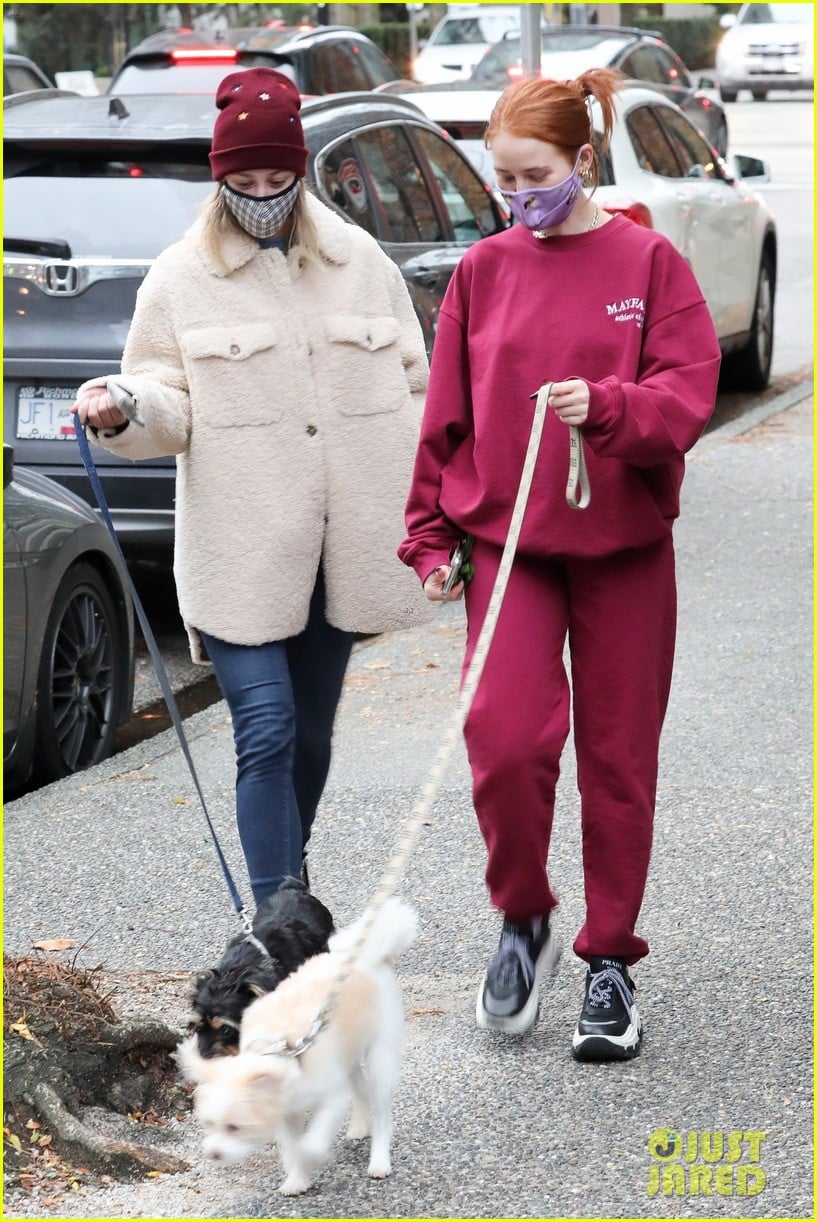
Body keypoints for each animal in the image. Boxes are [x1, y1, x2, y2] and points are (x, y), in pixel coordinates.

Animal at [175, 899, 417, 1192]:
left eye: (226, 1029)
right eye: (197, 1028)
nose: (212, 1153)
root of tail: (368, 955)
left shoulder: (332, 1097)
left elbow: (311, 1139)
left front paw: (309, 1152)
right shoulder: (286, 1112)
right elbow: (290, 1146)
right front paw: (297, 1179)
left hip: (381, 1056)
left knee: (381, 1111)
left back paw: (379, 1159)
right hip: (348, 1053)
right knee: (360, 1088)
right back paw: (359, 1127)